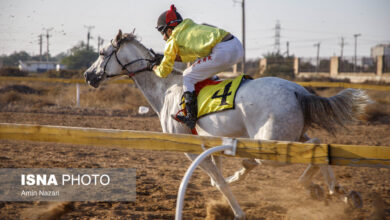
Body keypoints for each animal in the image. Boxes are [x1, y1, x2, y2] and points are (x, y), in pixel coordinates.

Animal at [84, 30, 370, 219]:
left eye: (101, 52)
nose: (88, 75)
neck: (166, 90)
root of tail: (297, 90)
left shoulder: (189, 148)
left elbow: (220, 181)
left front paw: (238, 210)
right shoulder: (209, 142)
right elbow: (220, 177)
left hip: (272, 140)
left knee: (291, 153)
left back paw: (315, 186)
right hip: (292, 132)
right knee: (318, 145)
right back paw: (335, 190)